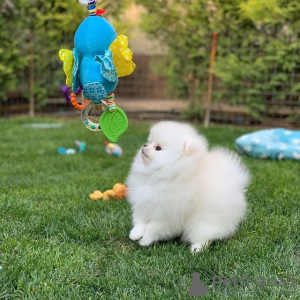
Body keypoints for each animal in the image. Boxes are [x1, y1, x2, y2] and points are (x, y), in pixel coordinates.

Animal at [126, 120, 251, 252]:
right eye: (150, 141)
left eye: (158, 148)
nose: (145, 145)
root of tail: (235, 183)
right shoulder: (144, 204)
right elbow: (140, 221)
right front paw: (135, 234)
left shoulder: (167, 215)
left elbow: (153, 228)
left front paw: (145, 240)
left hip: (206, 222)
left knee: (206, 236)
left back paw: (196, 249)